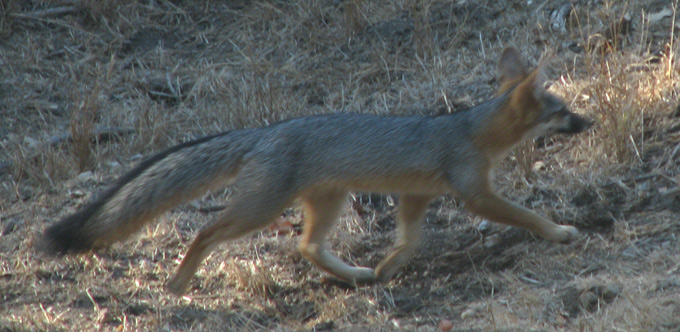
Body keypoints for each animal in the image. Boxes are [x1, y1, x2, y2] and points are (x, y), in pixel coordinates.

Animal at [38, 48, 588, 294]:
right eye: (563, 112)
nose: (590, 121)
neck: (469, 129)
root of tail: (266, 130)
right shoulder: (476, 194)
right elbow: (523, 214)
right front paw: (559, 231)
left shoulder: (416, 196)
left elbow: (409, 240)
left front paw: (388, 267)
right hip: (261, 209)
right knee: (205, 231)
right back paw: (178, 283)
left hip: (328, 202)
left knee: (305, 246)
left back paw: (355, 274)